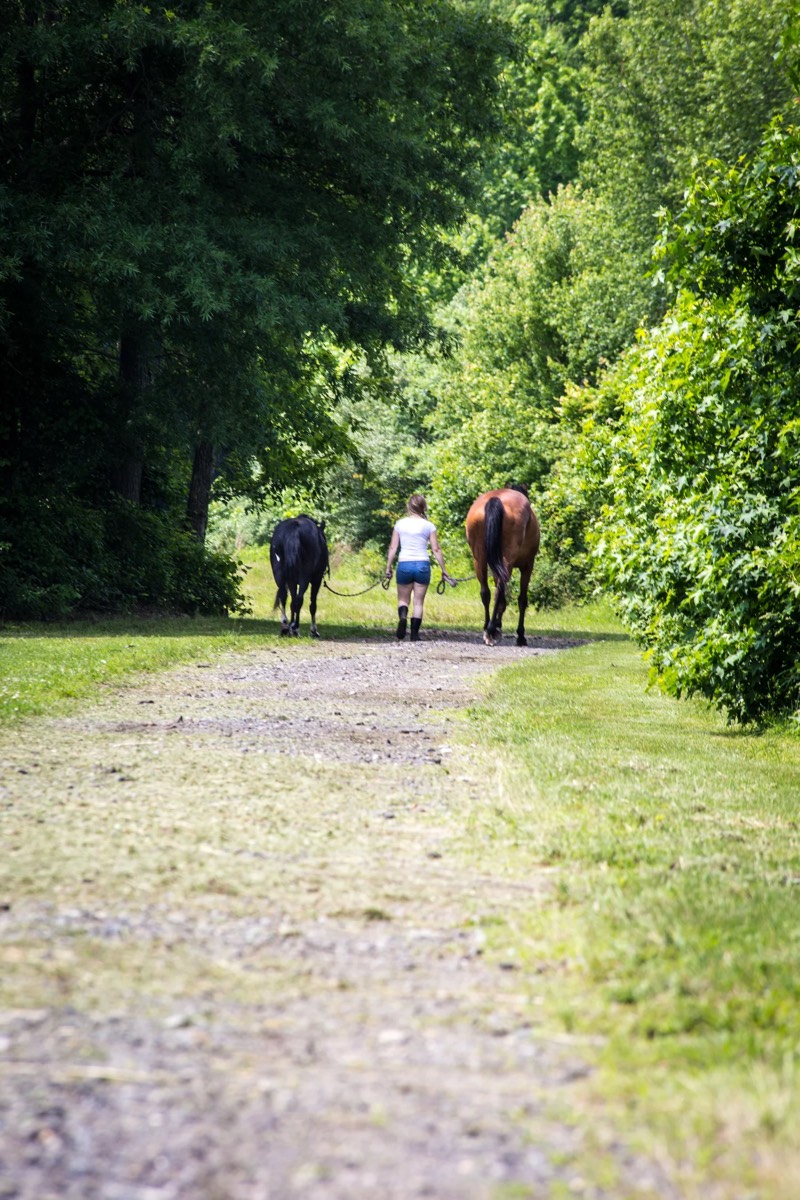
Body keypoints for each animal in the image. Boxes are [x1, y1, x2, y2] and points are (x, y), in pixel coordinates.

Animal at [465, 485, 540, 647]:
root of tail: (496, 499)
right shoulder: (528, 566)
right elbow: (522, 600)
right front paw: (520, 635)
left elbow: (501, 600)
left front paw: (498, 625)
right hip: (507, 561)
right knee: (499, 590)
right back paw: (491, 631)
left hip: (479, 559)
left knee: (486, 593)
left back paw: (488, 627)